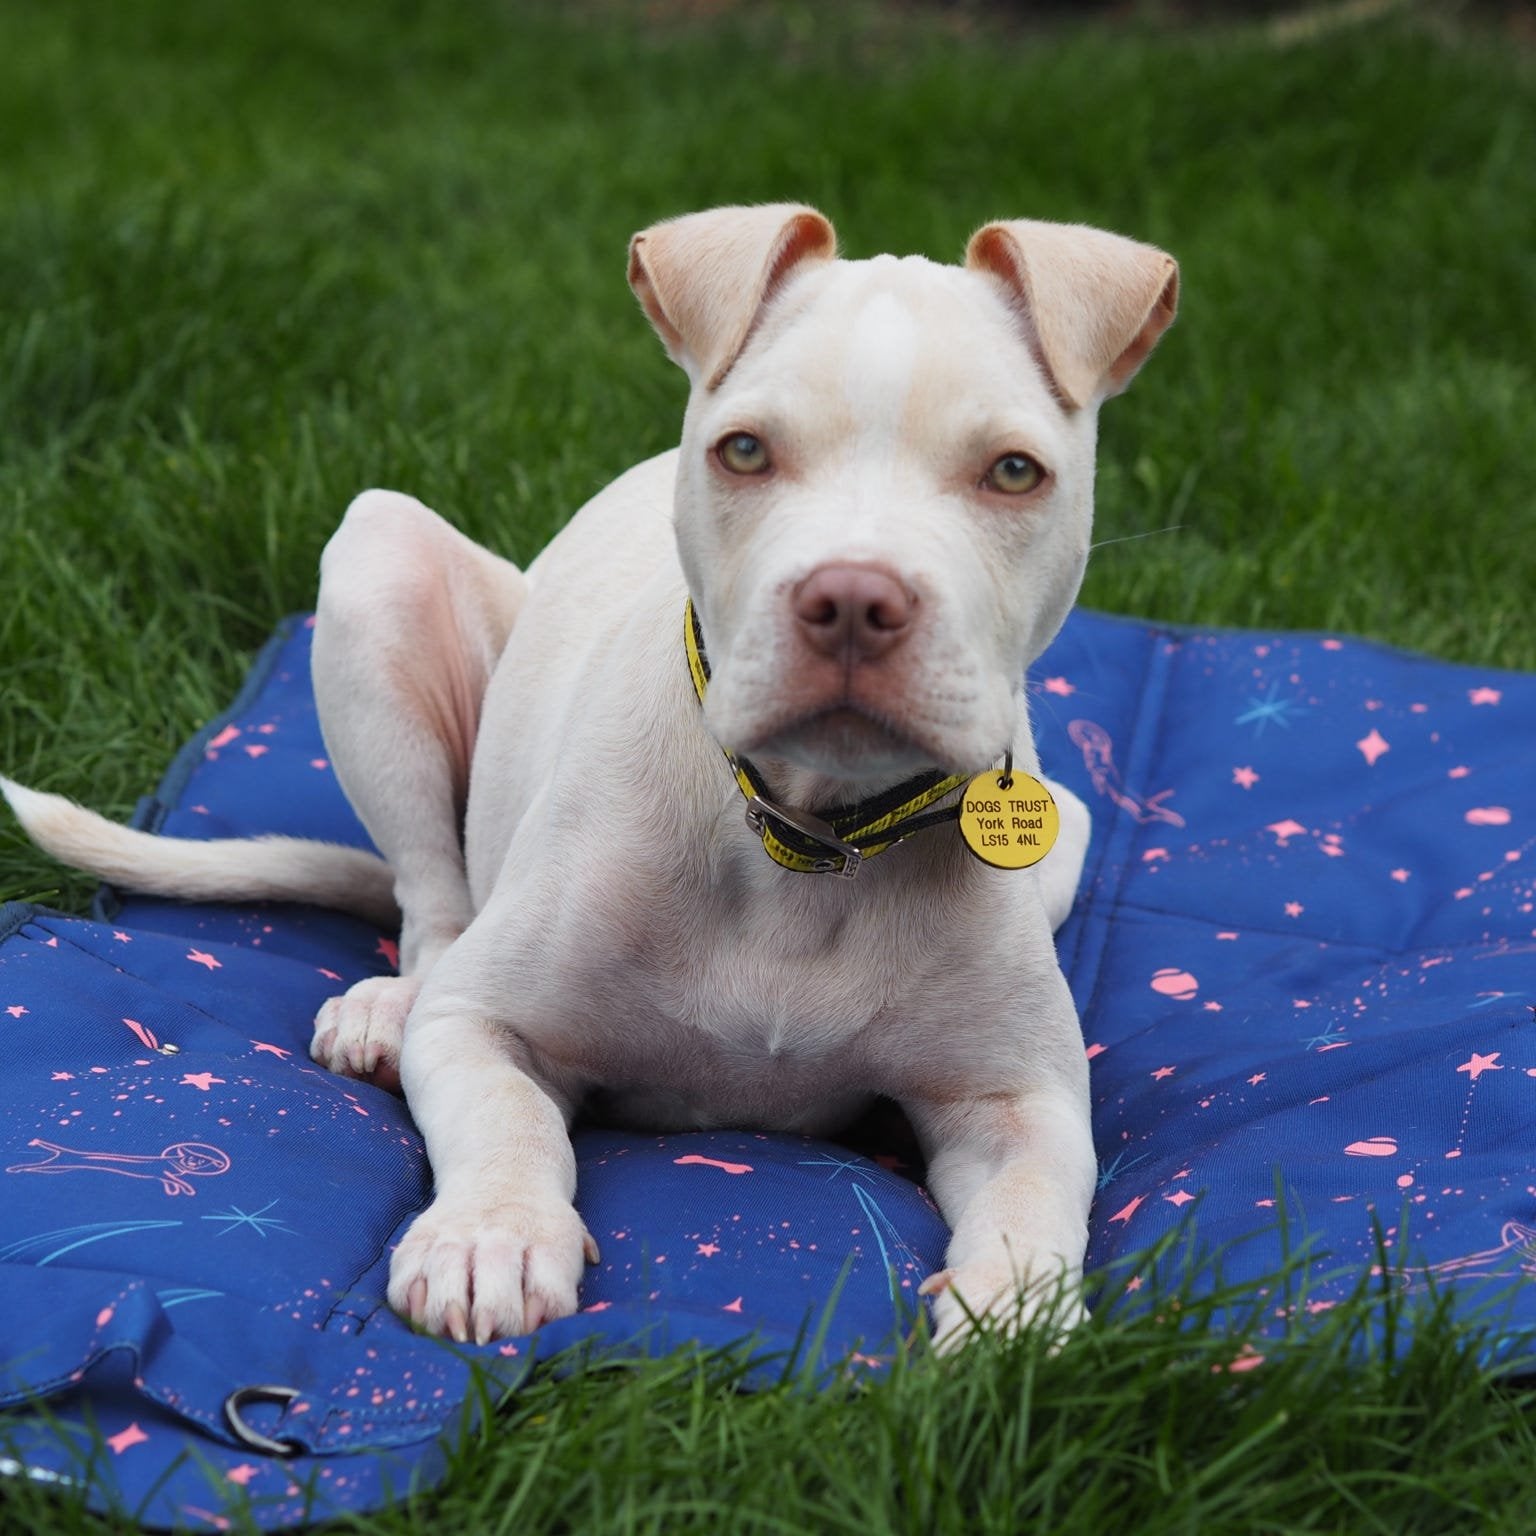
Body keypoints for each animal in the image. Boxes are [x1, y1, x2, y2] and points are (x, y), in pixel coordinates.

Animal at [3, 201, 1173, 1345]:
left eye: (1014, 471)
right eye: (744, 451)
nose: (851, 599)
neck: (804, 838)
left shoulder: (1019, 1100)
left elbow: (1034, 1195)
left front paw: (1014, 1311)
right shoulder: (484, 1026)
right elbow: (510, 1116)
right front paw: (491, 1237)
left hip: (1068, 829)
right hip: (380, 564)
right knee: (432, 897)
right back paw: (389, 1008)